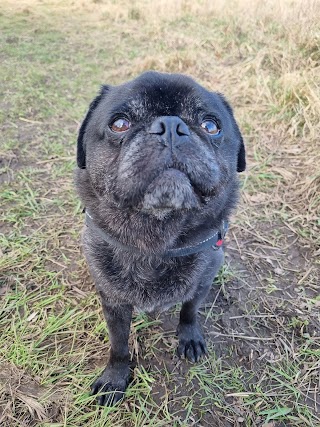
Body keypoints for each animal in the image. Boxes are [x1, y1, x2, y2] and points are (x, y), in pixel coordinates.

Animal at [75, 72, 245, 406]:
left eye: (211, 126)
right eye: (120, 123)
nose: (170, 126)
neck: (158, 242)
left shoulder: (201, 283)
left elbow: (190, 311)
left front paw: (189, 337)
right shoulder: (114, 305)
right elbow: (118, 345)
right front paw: (115, 378)